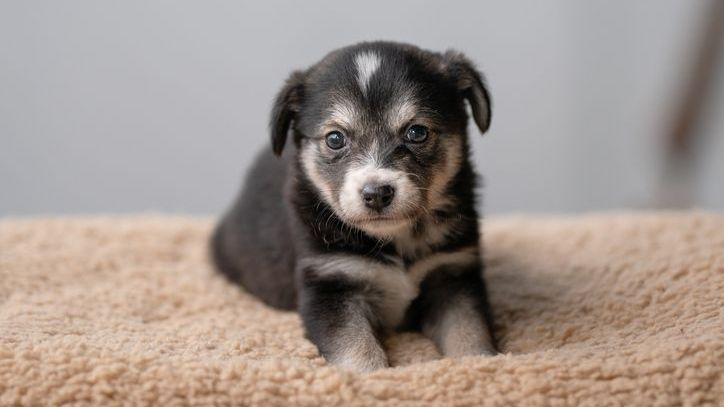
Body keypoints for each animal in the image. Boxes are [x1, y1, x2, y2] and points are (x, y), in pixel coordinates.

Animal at [211, 41, 498, 372]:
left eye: (417, 132)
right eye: (335, 138)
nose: (376, 194)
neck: (394, 240)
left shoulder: (453, 275)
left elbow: (468, 331)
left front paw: (480, 364)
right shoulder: (329, 284)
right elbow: (355, 347)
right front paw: (370, 374)